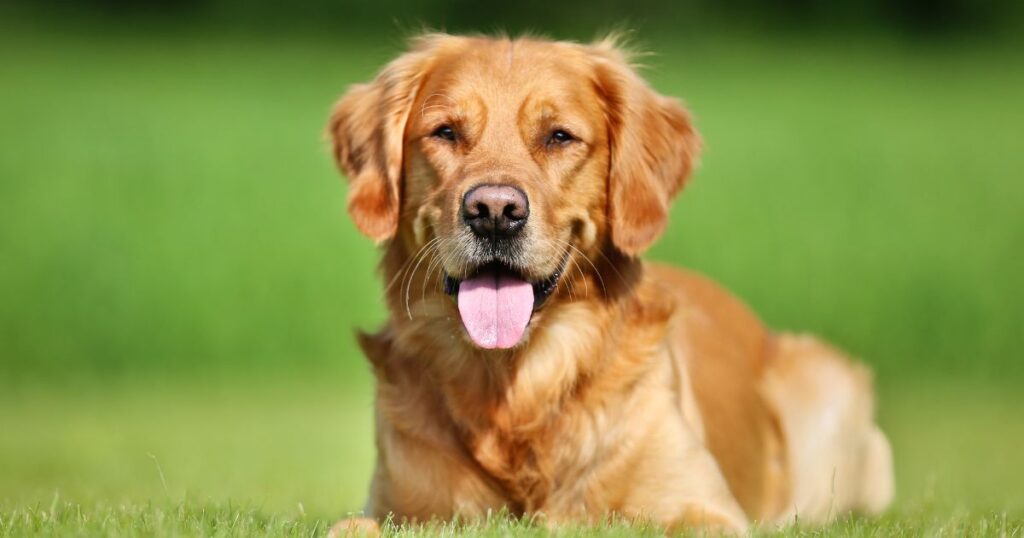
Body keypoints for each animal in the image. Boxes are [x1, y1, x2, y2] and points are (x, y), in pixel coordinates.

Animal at [323, 33, 892, 532]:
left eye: (558, 136)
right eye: (445, 132)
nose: (494, 212)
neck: (518, 388)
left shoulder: (704, 506)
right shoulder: (396, 505)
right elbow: (352, 526)